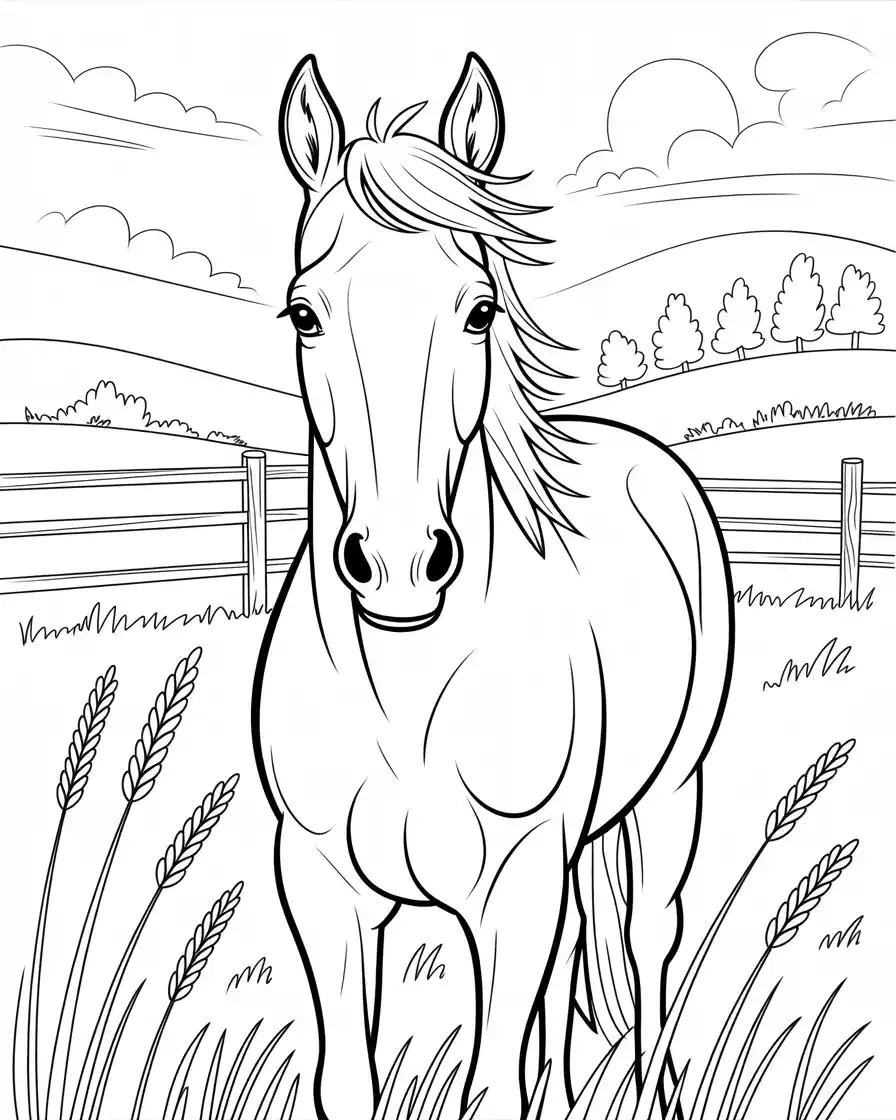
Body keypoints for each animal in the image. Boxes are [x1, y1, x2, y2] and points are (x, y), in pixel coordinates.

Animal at [252, 52, 733, 1120]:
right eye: (304, 313)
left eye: (480, 310)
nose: (396, 564)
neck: (406, 693)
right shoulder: (322, 889)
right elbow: (350, 1080)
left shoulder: (516, 892)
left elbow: (492, 1085)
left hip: (670, 797)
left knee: (651, 945)